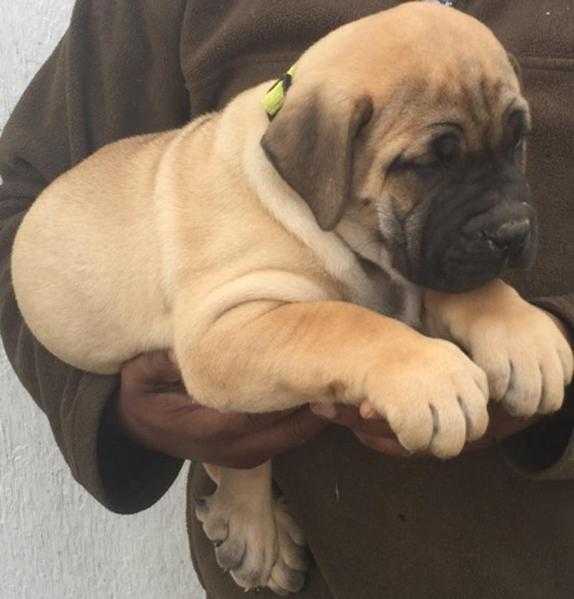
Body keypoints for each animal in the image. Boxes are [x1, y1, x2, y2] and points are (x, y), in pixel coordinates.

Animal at [11, 1, 572, 596]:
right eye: (426, 165)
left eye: (517, 141)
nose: (513, 231)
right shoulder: (225, 326)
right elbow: (340, 323)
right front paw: (431, 376)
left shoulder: (422, 267)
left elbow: (471, 290)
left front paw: (525, 338)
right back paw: (255, 532)